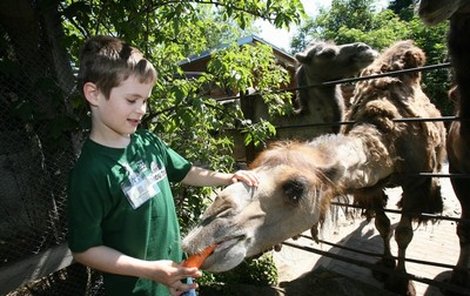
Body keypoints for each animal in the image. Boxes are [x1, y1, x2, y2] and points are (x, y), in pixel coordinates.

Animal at [182, 40, 446, 296]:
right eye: (327, 53)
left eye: (295, 187)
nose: (202, 233)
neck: (387, 139)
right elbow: (385, 226)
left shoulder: (414, 183)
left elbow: (400, 232)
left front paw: (398, 279)